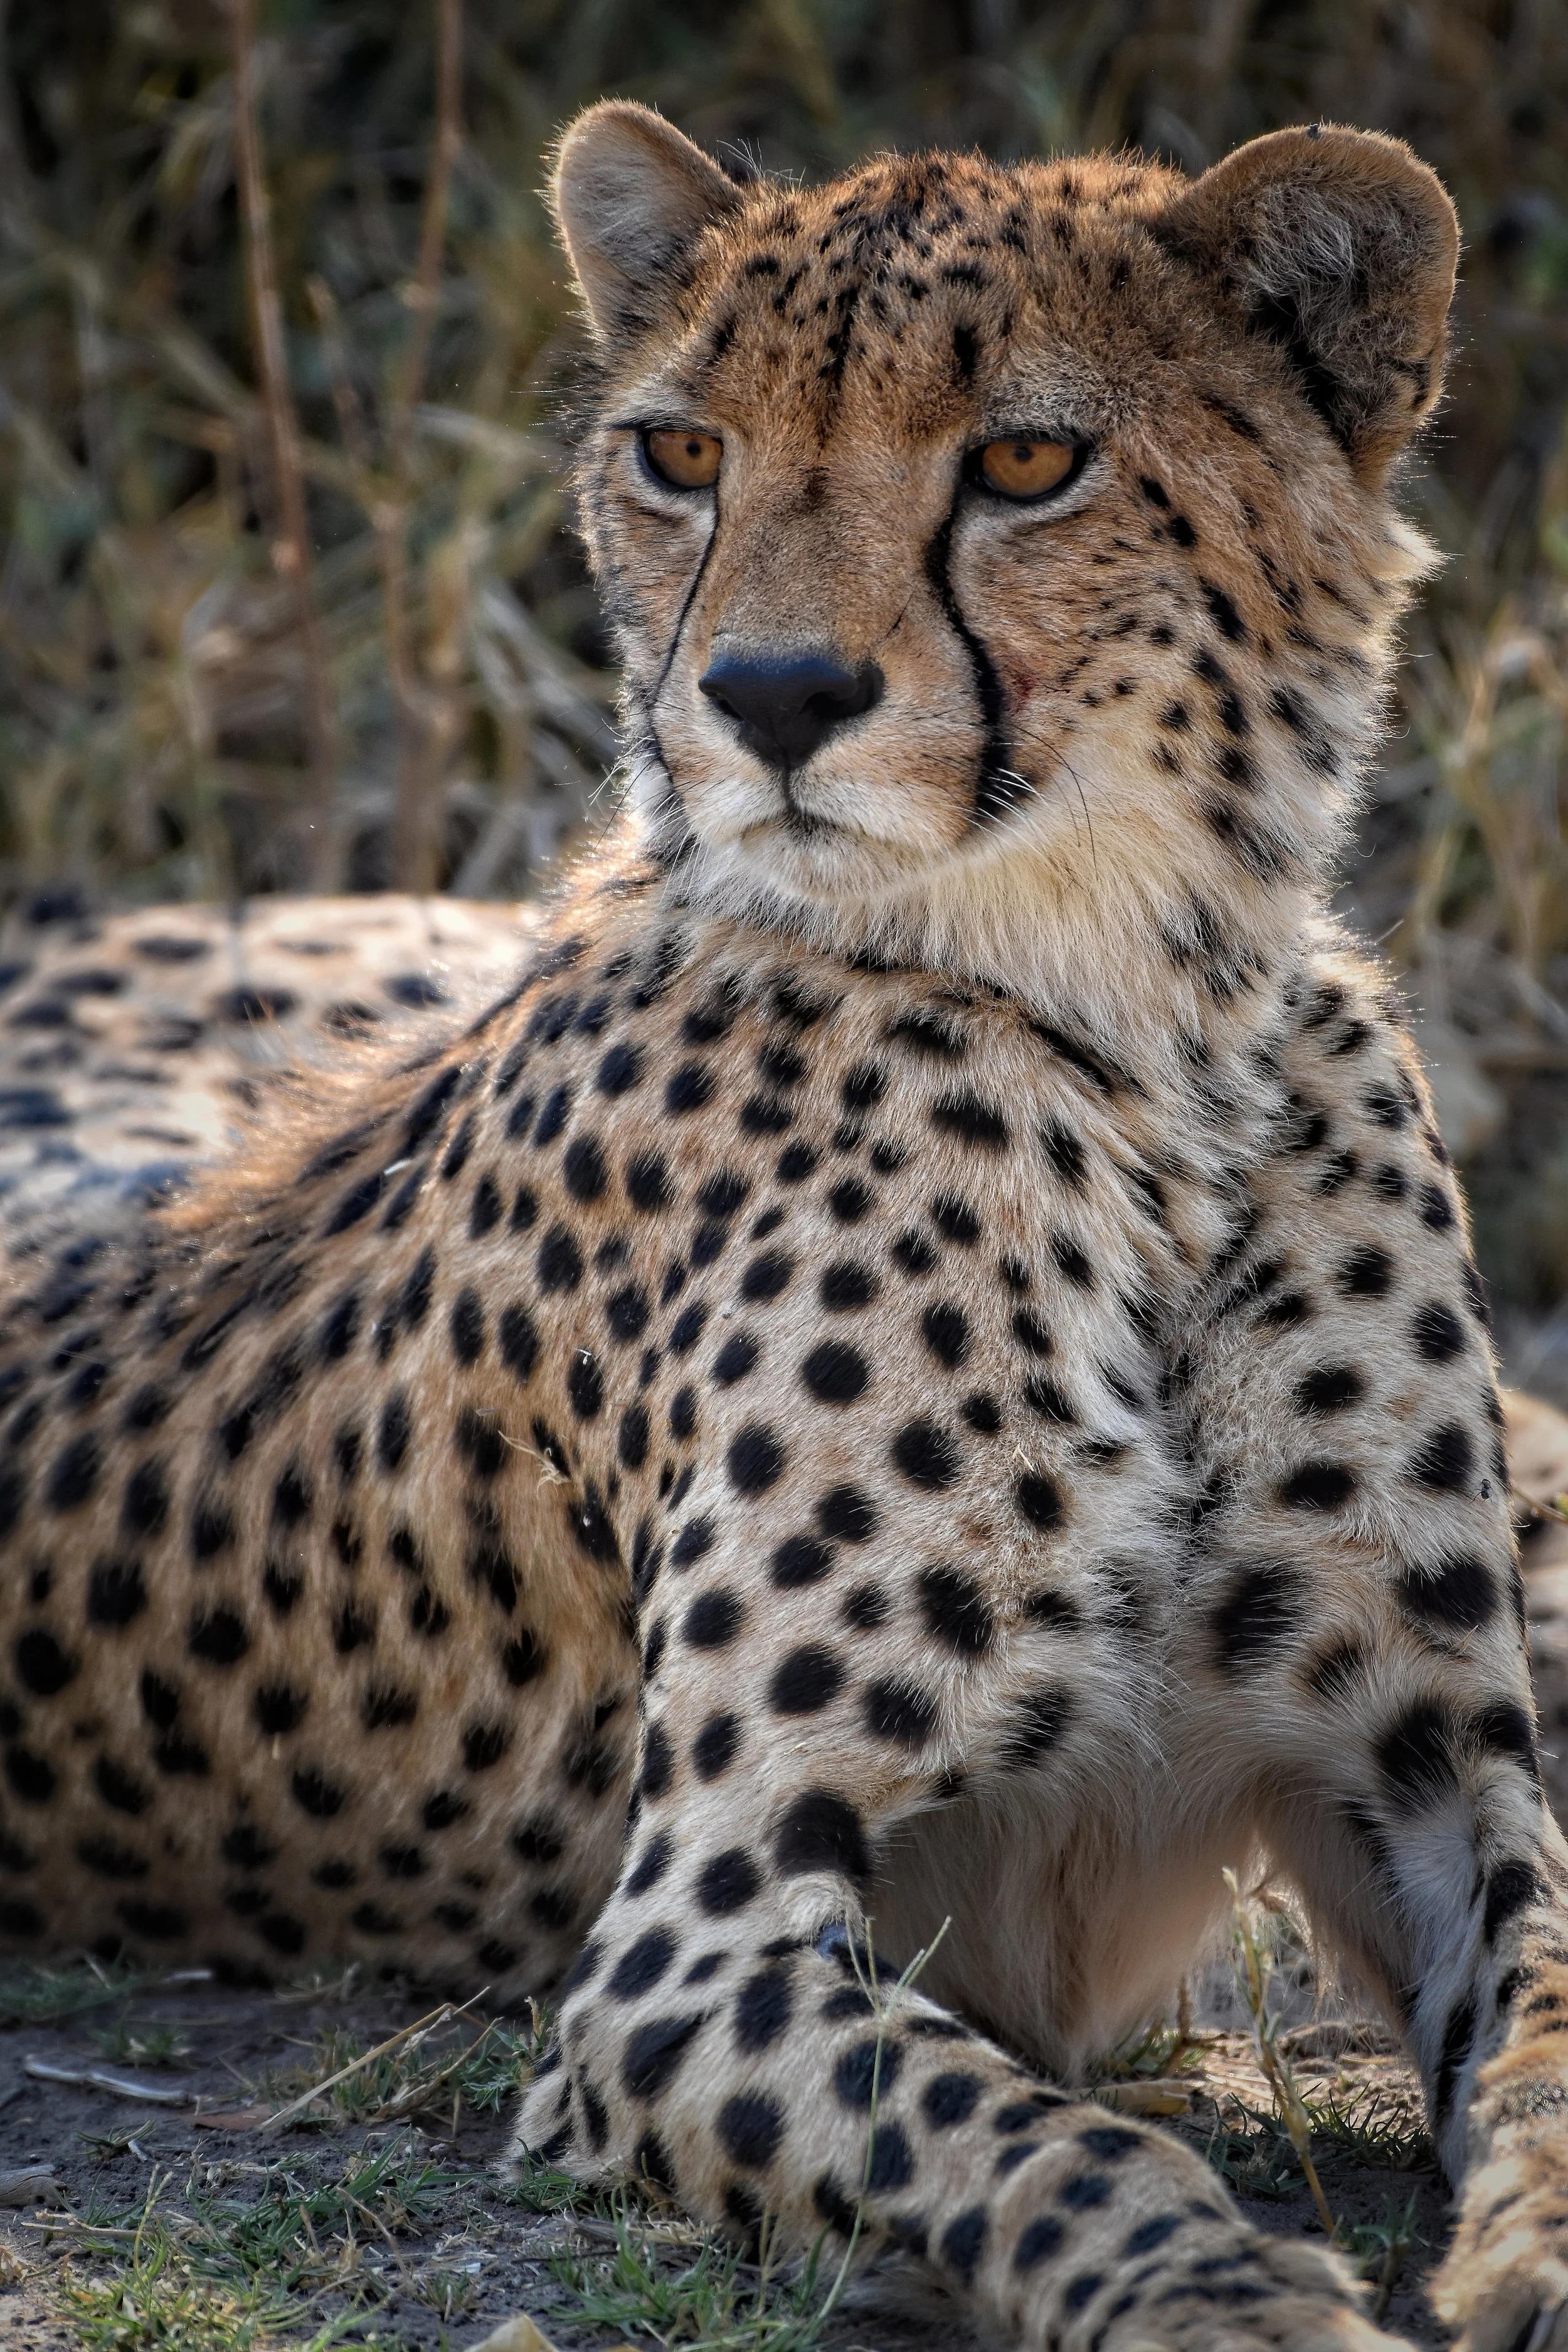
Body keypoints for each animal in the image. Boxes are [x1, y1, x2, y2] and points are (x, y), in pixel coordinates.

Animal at [3, 97, 1568, 2351]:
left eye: (1026, 460)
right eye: (683, 452)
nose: (770, 693)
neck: (1132, 1021)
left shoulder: (1432, 1766)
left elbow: (1550, 2032)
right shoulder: (689, 1949)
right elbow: (1048, 2143)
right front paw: (1242, 2305)